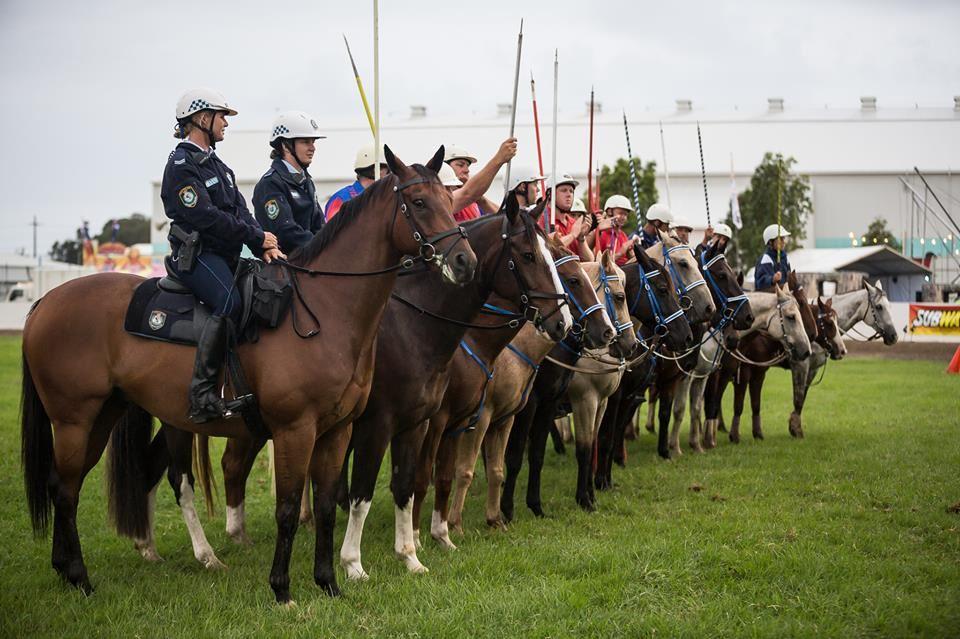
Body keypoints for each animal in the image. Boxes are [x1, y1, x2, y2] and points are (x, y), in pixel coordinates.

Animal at [24, 146, 480, 604]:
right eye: (419, 202)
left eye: (449, 200)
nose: (464, 261)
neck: (327, 310)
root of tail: (46, 301)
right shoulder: (299, 430)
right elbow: (289, 507)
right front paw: (283, 590)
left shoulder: (339, 431)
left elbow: (328, 504)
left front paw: (329, 582)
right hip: (75, 421)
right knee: (70, 489)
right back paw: (85, 575)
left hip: (103, 417)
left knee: (67, 485)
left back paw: (69, 569)